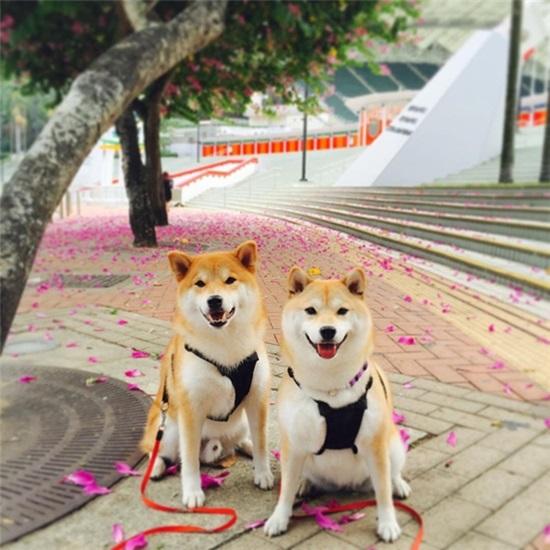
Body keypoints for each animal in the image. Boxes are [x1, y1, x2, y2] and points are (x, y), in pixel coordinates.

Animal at [141, 241, 274, 508]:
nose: (214, 300)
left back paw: (246, 445)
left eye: (230, 280)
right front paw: (192, 492)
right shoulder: (192, 408)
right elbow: (189, 459)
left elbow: (262, 443)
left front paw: (263, 473)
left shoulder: (257, 400)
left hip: (240, 423)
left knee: (240, 440)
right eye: (200, 284)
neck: (225, 348)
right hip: (169, 429)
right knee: (156, 448)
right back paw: (157, 466)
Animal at [264, 266, 410, 542]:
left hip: (393, 444)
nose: (328, 331)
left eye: (342, 311)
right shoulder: (294, 444)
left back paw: (399, 484)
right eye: (311, 310)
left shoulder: (375, 446)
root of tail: (346, 485)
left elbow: (383, 491)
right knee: (302, 476)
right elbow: (285, 489)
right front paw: (279, 518)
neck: (330, 387)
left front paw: (388, 523)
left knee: (391, 474)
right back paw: (305, 484)